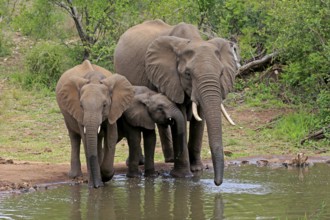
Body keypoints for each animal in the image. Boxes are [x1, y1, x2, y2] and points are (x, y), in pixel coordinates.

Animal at [55, 59, 134, 187]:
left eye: (104, 105)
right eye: (81, 105)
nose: (97, 185)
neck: (94, 79)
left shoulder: (113, 109)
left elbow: (111, 137)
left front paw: (104, 176)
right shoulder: (79, 112)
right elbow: (86, 139)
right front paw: (93, 185)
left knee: (98, 138)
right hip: (66, 113)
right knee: (74, 137)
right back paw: (75, 176)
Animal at [114, 19, 241, 186]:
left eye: (221, 73)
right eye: (188, 74)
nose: (217, 183)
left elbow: (199, 118)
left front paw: (197, 170)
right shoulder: (171, 78)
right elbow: (179, 113)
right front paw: (183, 175)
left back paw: (170, 159)